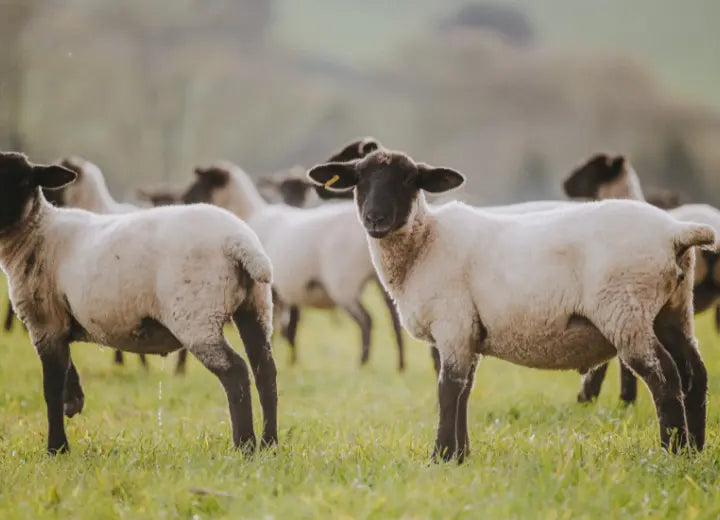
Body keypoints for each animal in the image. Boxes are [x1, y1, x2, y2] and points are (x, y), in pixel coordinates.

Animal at [0, 151, 277, 454]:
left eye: (23, 180)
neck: (35, 233)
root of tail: (240, 241)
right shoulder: (58, 322)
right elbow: (66, 372)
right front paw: (74, 401)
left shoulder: (43, 321)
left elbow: (51, 386)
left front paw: (57, 448)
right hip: (255, 307)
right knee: (265, 370)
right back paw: (270, 444)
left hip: (198, 316)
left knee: (235, 372)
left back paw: (245, 445)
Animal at [181, 138, 406, 370]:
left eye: (201, 183)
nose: (185, 199)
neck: (250, 214)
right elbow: (285, 329)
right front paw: (290, 362)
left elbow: (275, 330)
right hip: (381, 280)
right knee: (394, 319)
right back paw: (399, 365)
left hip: (344, 283)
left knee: (366, 321)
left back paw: (362, 364)